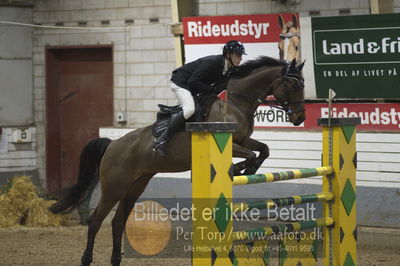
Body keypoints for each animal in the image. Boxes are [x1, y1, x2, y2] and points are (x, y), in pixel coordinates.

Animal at [50, 56, 306, 266]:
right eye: (294, 85)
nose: (299, 118)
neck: (235, 102)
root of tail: (112, 144)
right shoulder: (229, 142)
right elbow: (251, 154)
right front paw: (240, 168)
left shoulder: (244, 140)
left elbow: (264, 150)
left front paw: (246, 168)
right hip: (114, 188)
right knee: (95, 221)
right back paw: (86, 258)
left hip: (135, 186)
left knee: (117, 222)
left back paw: (115, 260)